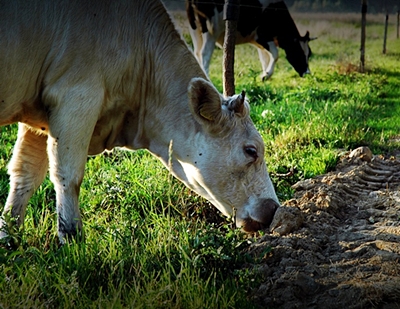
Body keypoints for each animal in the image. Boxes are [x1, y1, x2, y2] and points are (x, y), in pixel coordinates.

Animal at [0, 0, 280, 243]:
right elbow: (68, 174)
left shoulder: (38, 117)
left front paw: (9, 237)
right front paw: (71, 240)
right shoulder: (76, 98)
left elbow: (25, 174)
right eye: (251, 150)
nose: (273, 210)